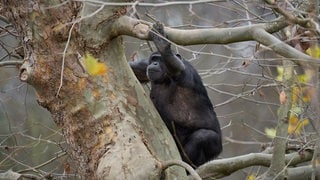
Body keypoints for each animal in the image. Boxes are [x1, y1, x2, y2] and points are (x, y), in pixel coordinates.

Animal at [129, 22, 221, 167]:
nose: (155, 63)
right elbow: (135, 69)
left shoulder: (186, 72)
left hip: (215, 147)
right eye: (153, 59)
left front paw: (162, 44)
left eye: (160, 59)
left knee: (203, 136)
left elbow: (178, 67)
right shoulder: (145, 66)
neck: (166, 78)